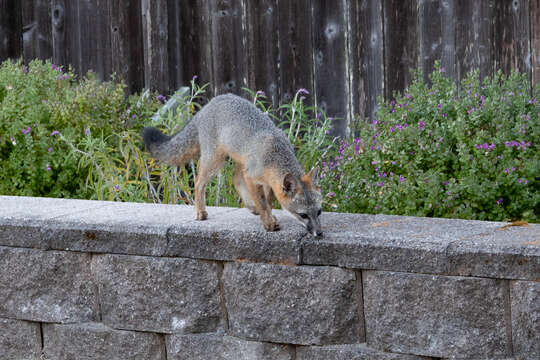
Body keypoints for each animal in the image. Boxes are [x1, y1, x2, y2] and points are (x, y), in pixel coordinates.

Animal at [141, 93, 322, 236]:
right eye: (303, 215)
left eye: (319, 212)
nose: (319, 233)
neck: (274, 152)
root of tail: (208, 104)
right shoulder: (252, 177)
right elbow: (263, 204)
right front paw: (269, 223)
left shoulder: (268, 182)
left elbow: (268, 203)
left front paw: (269, 216)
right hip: (214, 161)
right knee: (199, 182)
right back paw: (200, 212)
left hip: (239, 161)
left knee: (235, 180)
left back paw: (250, 207)